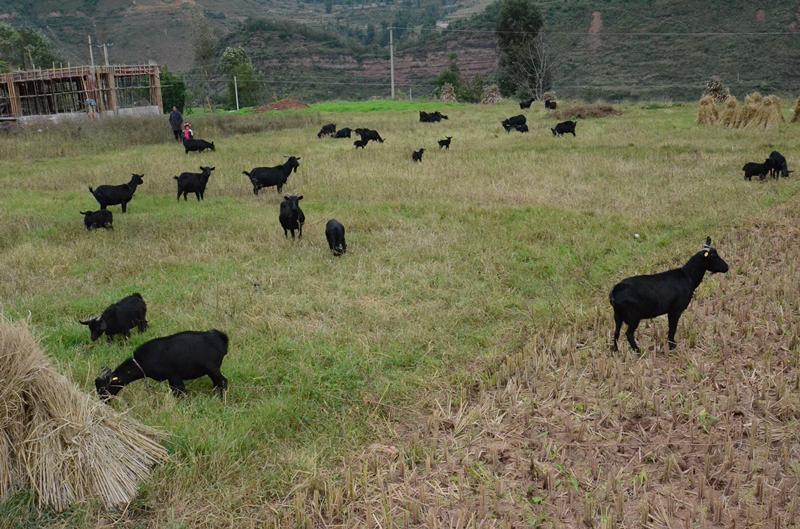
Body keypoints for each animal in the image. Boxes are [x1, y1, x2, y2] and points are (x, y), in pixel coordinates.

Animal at [96, 328, 231, 398]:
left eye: (104, 388)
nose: (103, 401)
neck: (141, 363)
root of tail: (221, 338)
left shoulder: (174, 376)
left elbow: (180, 392)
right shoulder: (172, 379)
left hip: (212, 368)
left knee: (223, 381)